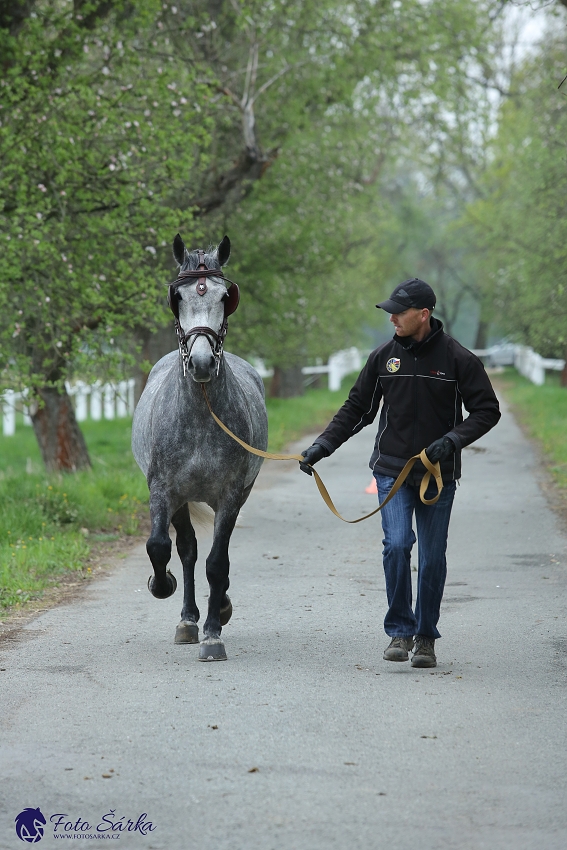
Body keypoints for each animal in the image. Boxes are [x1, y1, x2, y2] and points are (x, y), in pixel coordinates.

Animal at [131, 235, 268, 660]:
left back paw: (214, 610)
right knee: (187, 549)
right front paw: (162, 585)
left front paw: (213, 632)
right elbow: (161, 547)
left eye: (226, 296)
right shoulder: (164, 490)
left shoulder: (230, 495)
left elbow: (217, 563)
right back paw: (187, 619)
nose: (203, 363)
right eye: (178, 296)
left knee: (213, 557)